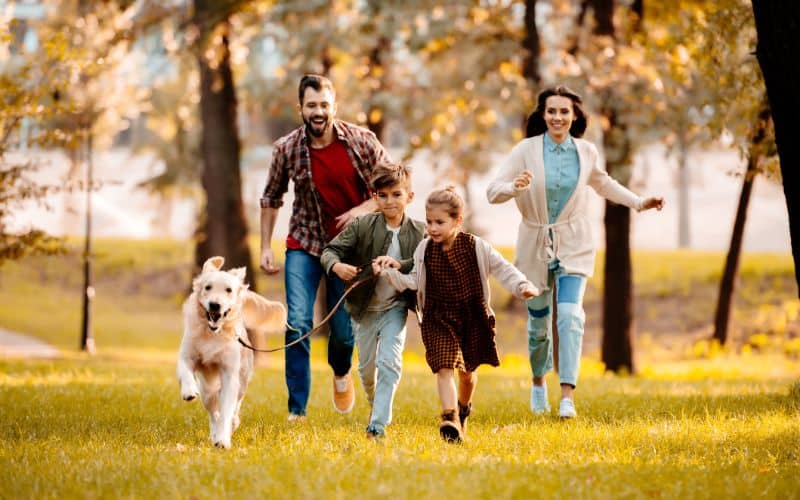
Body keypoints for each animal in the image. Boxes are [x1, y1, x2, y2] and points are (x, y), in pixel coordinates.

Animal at [178, 256, 288, 448]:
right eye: (207, 287)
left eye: (228, 290)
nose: (215, 305)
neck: (213, 333)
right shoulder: (187, 355)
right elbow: (185, 369)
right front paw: (188, 391)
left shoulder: (230, 374)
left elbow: (227, 410)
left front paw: (223, 439)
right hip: (207, 390)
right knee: (212, 411)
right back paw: (214, 432)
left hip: (242, 381)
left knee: (234, 406)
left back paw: (231, 425)